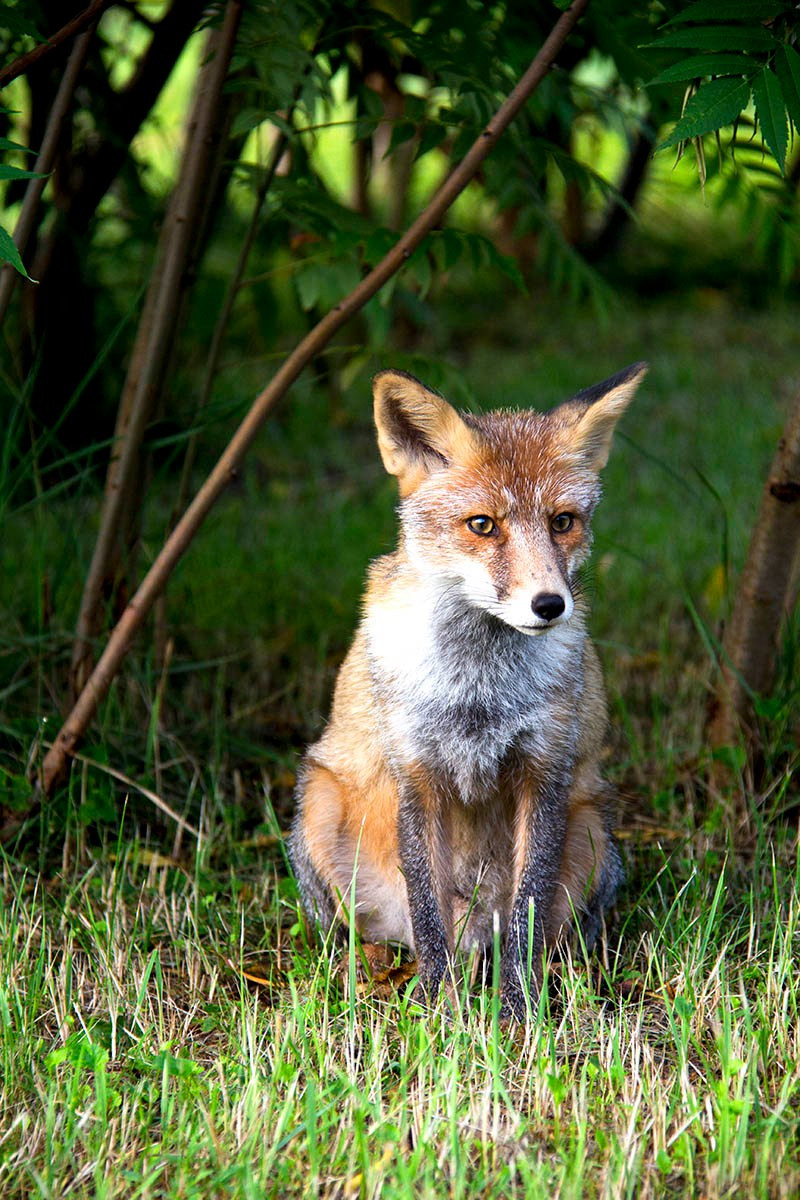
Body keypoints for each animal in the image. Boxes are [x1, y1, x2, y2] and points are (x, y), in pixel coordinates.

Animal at [291, 360, 647, 1017]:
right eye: (483, 524)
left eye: (563, 521)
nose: (549, 605)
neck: (477, 689)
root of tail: (477, 926)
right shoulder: (415, 773)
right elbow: (427, 913)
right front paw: (436, 1013)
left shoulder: (545, 771)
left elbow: (528, 911)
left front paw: (518, 1013)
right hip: (319, 803)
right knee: (367, 935)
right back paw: (372, 971)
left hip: (590, 828)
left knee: (552, 933)